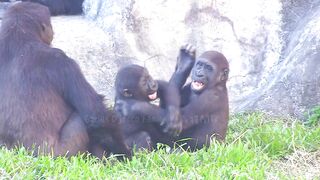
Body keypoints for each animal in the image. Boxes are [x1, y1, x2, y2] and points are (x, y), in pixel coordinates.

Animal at [0, 2, 131, 158]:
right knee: (81, 118)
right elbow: (96, 116)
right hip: (62, 153)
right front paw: (124, 152)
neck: (16, 37)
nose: (52, 32)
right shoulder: (62, 61)